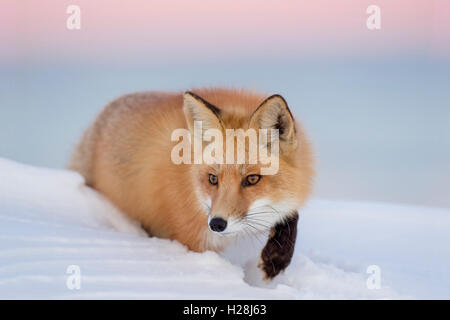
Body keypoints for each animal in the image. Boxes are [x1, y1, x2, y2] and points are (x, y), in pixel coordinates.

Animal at [68, 89, 314, 278]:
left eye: (252, 179)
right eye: (213, 179)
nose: (217, 224)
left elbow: (291, 215)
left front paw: (275, 260)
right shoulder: (192, 237)